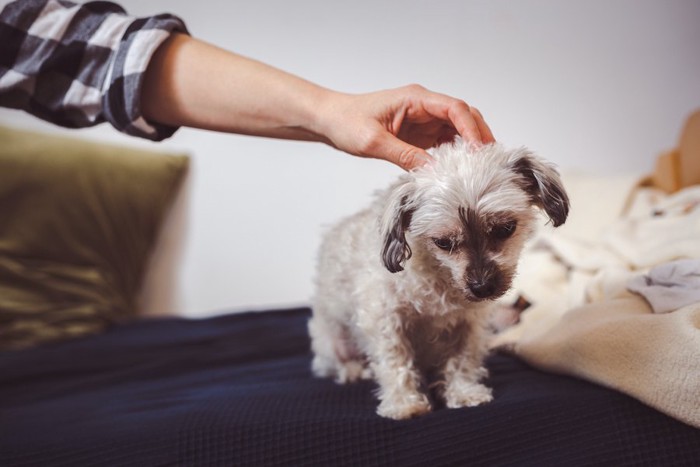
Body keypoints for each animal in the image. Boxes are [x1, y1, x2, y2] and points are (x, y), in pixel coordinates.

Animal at [310, 140, 568, 420]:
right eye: (443, 242)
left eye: (505, 229)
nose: (482, 287)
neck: (441, 277)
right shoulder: (384, 318)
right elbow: (395, 361)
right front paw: (404, 403)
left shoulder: (468, 325)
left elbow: (462, 359)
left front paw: (463, 392)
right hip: (332, 341)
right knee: (335, 362)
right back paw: (352, 371)